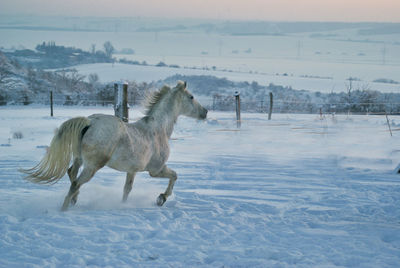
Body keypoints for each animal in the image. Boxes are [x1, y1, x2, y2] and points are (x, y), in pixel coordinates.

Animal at [21, 80, 208, 210]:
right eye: (191, 97)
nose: (205, 112)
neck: (158, 129)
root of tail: (89, 122)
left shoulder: (132, 171)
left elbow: (127, 189)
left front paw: (123, 205)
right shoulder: (155, 170)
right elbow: (174, 176)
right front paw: (161, 198)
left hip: (79, 159)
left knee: (71, 173)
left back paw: (74, 199)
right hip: (93, 166)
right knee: (76, 183)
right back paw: (65, 208)